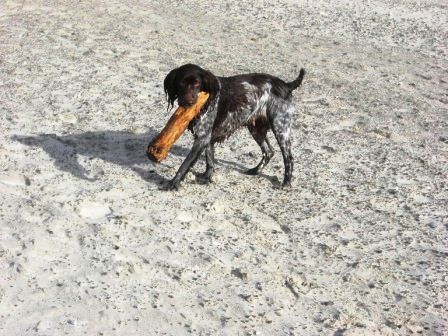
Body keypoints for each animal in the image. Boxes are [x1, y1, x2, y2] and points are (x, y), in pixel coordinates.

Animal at [150, 62, 304, 189]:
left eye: (197, 84)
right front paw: (207, 177)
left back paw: (286, 183)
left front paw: (174, 182)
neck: (207, 99)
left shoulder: (202, 138)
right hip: (256, 128)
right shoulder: (207, 137)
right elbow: (210, 159)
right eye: (181, 83)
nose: (188, 102)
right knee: (269, 151)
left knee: (288, 158)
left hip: (280, 128)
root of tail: (286, 85)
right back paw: (255, 170)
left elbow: (186, 164)